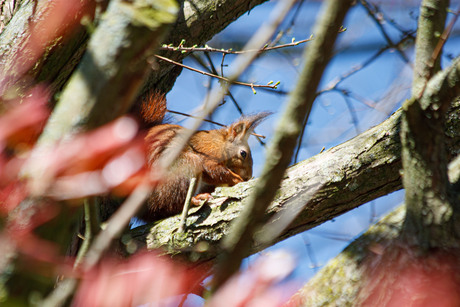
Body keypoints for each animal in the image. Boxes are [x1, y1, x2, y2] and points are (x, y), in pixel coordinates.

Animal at [140, 91, 270, 221]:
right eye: (243, 153)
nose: (248, 176)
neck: (221, 143)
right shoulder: (208, 152)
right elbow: (213, 170)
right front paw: (238, 180)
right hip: (185, 166)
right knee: (169, 206)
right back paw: (196, 199)